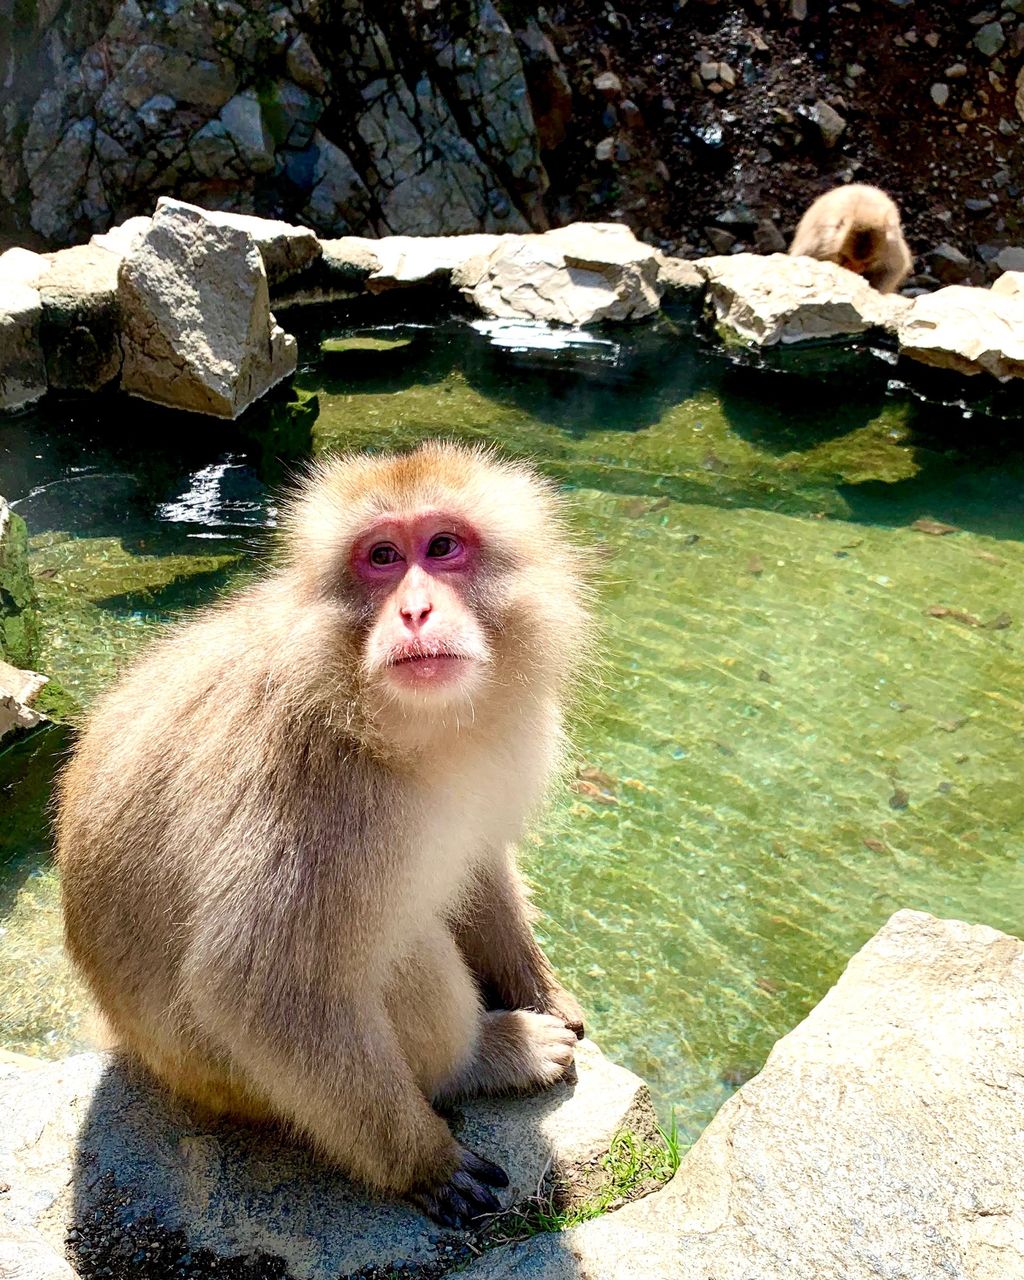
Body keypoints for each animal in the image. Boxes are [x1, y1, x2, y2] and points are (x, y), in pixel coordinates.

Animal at [57, 442, 591, 1228]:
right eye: (381, 557)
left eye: (442, 547)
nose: (416, 610)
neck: (393, 724)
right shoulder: (319, 794)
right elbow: (261, 990)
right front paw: (424, 1161)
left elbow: (479, 863)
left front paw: (544, 991)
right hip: (230, 1082)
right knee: (396, 946)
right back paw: (481, 1060)